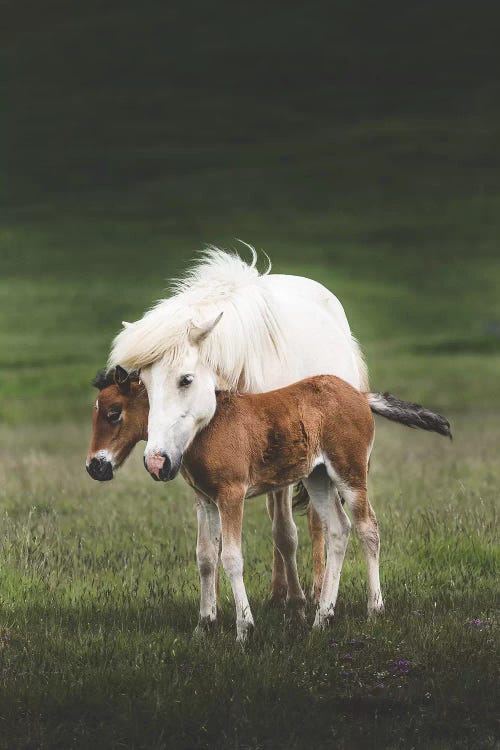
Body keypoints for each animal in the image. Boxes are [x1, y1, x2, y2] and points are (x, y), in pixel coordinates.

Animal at [108, 247, 376, 636]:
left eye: (186, 379)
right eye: (142, 383)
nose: (156, 461)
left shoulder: (279, 465)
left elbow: (284, 535)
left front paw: (296, 606)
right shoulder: (205, 481)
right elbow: (209, 552)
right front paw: (213, 614)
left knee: (318, 526)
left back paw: (313, 593)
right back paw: (281, 594)